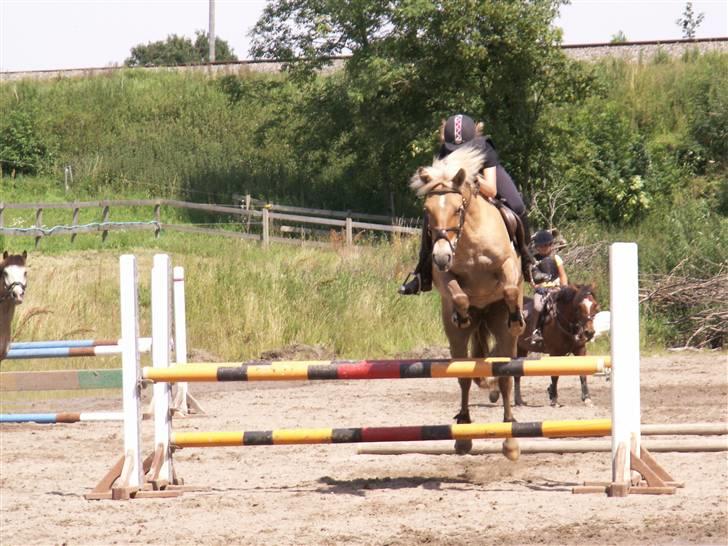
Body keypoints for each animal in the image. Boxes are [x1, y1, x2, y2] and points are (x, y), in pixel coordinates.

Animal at [410, 146, 524, 460]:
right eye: (427, 211)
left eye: (457, 209)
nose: (440, 256)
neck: (468, 236)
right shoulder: (445, 274)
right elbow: (458, 294)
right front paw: (462, 314)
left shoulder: (508, 265)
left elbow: (510, 289)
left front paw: (516, 315)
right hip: (457, 342)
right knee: (463, 376)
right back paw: (463, 433)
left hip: (503, 336)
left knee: (505, 375)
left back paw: (510, 438)